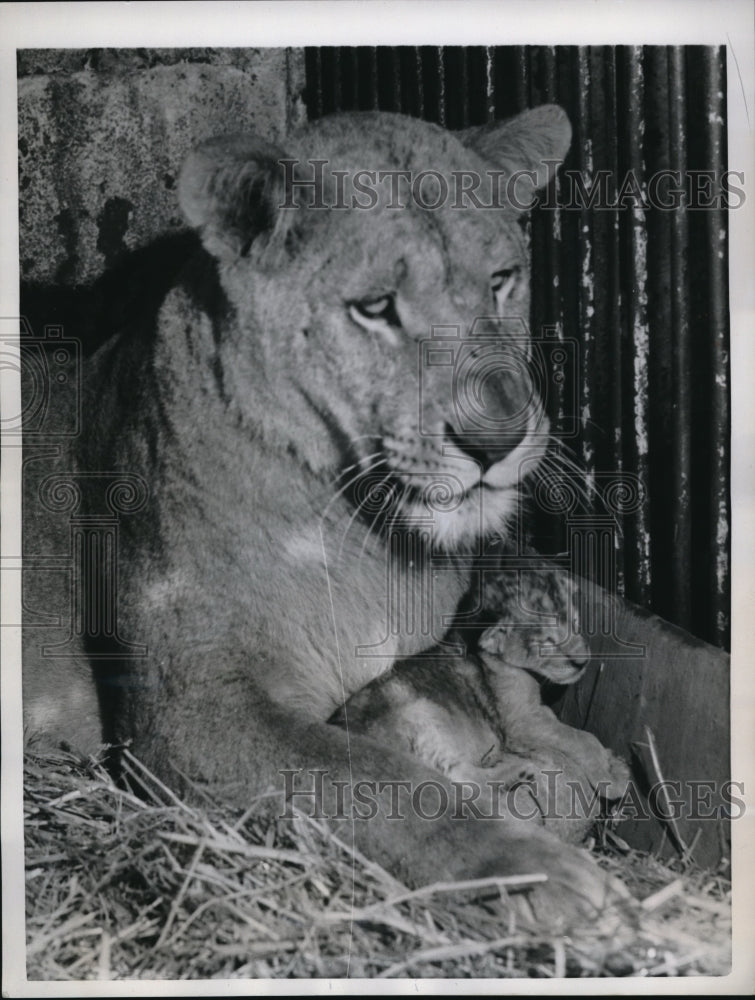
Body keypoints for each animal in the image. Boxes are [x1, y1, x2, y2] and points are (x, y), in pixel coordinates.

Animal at [22, 106, 633, 932]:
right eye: (374, 309)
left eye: (500, 283)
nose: (498, 439)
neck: (374, 538)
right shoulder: (186, 718)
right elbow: (374, 778)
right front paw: (538, 870)